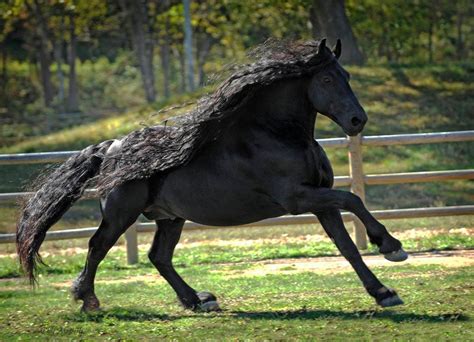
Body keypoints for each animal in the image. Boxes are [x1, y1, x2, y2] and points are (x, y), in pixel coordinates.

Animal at [15, 39, 408, 312]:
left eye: (348, 77)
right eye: (326, 78)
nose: (357, 120)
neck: (276, 134)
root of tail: (110, 147)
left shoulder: (319, 199)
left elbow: (346, 245)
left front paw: (384, 292)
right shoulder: (298, 198)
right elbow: (353, 198)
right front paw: (391, 246)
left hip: (170, 218)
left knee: (159, 256)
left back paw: (198, 300)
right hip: (121, 213)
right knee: (98, 246)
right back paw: (88, 300)